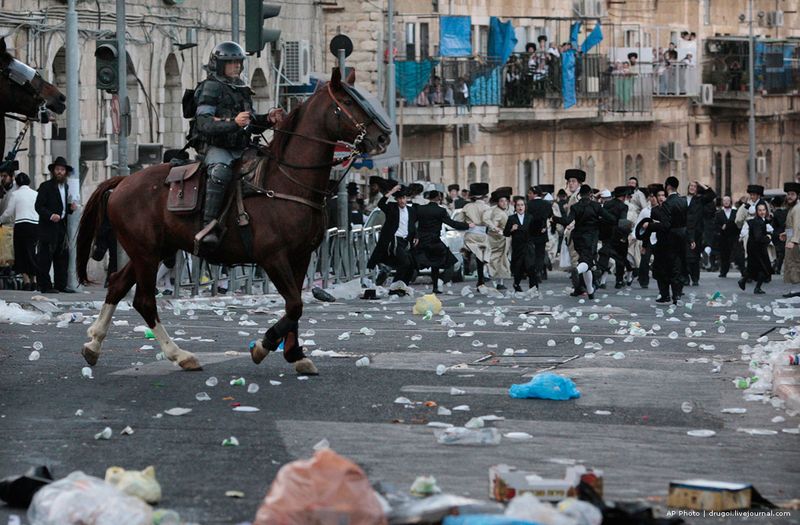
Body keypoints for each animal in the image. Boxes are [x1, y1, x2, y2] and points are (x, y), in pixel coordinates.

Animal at [75, 68, 390, 372]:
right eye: (348, 101)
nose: (383, 136)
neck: (287, 180)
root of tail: (123, 181)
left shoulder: (300, 257)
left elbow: (295, 306)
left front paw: (295, 354)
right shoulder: (273, 258)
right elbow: (295, 306)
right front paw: (263, 346)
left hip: (153, 251)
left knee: (118, 285)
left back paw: (94, 344)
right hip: (146, 254)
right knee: (144, 300)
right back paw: (179, 354)